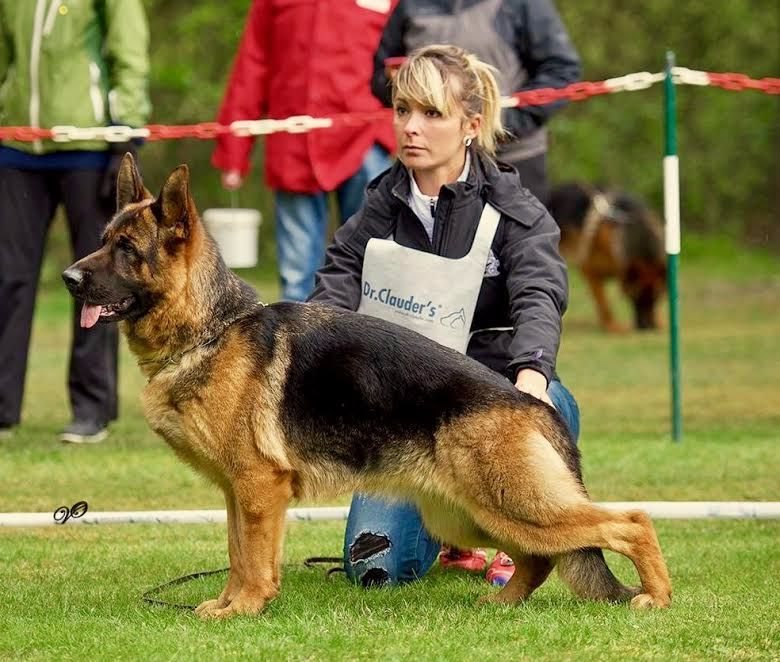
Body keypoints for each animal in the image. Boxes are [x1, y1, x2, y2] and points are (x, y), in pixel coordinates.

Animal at [544, 182, 668, 334]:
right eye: (634, 294)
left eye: (657, 296)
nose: (647, 327)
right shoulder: (590, 272)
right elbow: (604, 303)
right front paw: (612, 326)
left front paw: (659, 321)